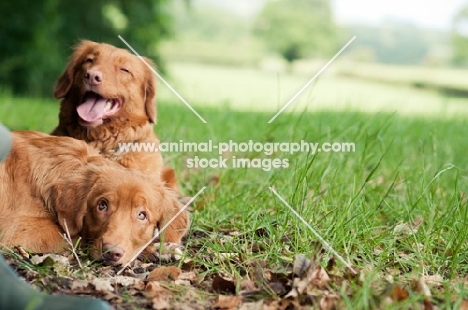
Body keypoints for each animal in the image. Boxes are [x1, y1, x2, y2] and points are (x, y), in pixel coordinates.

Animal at [0, 132, 188, 266]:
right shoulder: (18, 229)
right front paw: (156, 249)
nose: (112, 252)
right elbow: (79, 239)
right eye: (102, 205)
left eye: (142, 215)